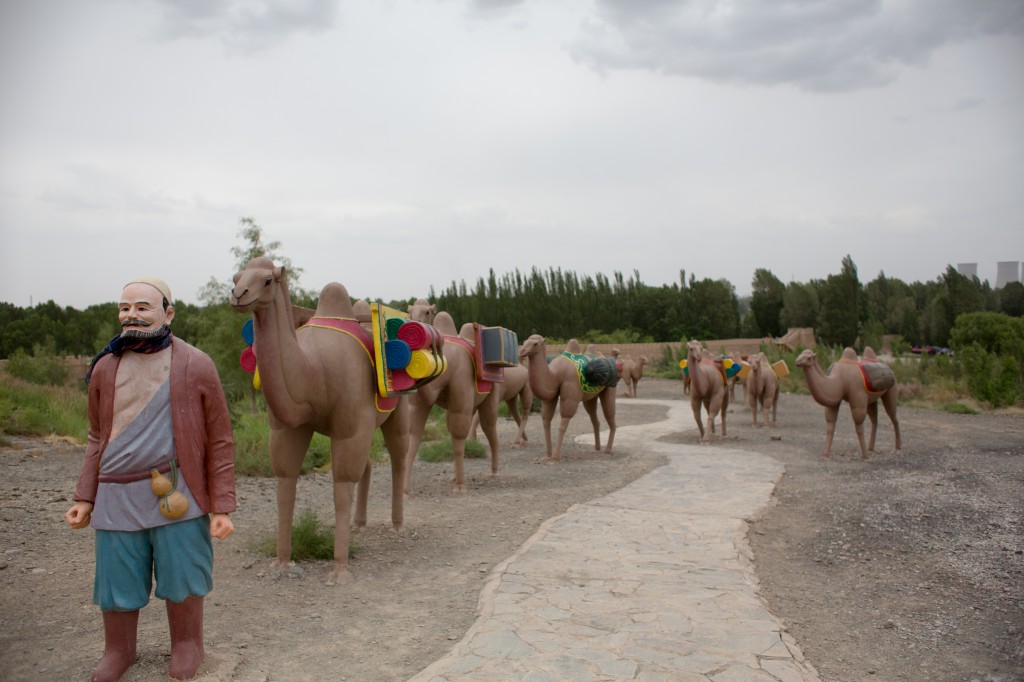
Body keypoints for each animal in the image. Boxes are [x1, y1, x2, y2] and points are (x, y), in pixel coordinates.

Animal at [232, 258, 407, 581]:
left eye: (267, 280)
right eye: (236, 277)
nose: (238, 295)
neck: (313, 369)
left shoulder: (350, 428)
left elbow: (341, 490)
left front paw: (339, 570)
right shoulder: (289, 428)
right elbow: (285, 486)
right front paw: (282, 562)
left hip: (399, 409)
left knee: (399, 459)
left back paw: (398, 526)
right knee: (368, 466)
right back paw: (359, 524)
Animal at [405, 311, 505, 491]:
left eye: (427, 312)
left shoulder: (460, 380)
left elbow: (458, 436)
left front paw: (460, 486)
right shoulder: (419, 402)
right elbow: (413, 436)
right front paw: (404, 491)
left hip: (493, 390)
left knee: (489, 425)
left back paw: (494, 473)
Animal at [520, 333, 614, 462]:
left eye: (535, 343)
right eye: (524, 342)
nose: (522, 351)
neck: (555, 375)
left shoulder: (570, 397)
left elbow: (562, 424)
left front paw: (555, 457)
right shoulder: (550, 397)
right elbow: (546, 421)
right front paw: (547, 456)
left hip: (609, 389)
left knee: (610, 416)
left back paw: (608, 450)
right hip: (590, 397)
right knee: (595, 419)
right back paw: (597, 448)